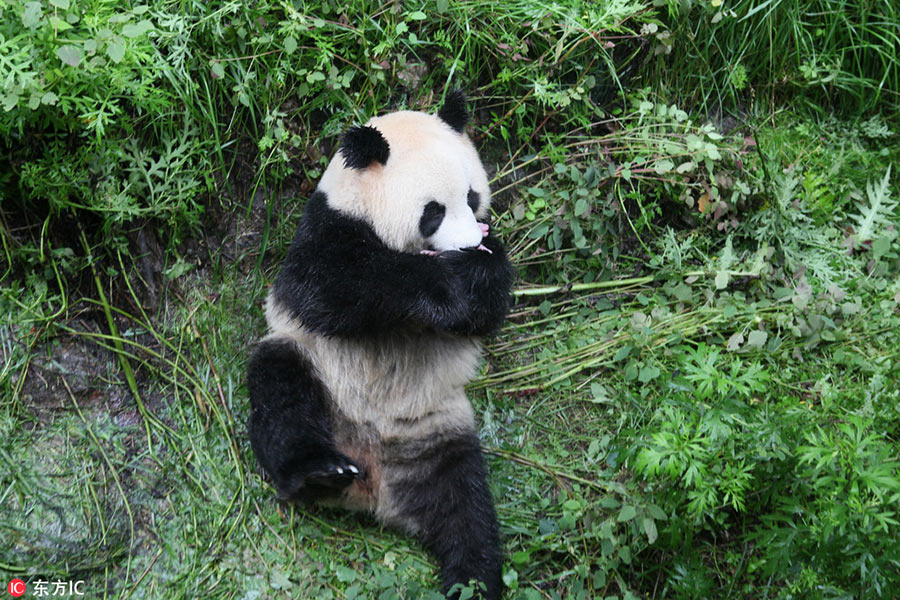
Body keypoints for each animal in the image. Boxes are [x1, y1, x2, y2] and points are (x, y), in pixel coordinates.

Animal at [246, 90, 512, 600]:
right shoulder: (325, 229)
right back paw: (318, 473)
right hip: (312, 365)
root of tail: (373, 481)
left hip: (437, 428)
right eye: (433, 211)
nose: (469, 243)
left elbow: (489, 308)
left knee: (465, 504)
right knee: (281, 395)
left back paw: (473, 580)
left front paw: (479, 272)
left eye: (472, 198)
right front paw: (447, 280)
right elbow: (332, 286)